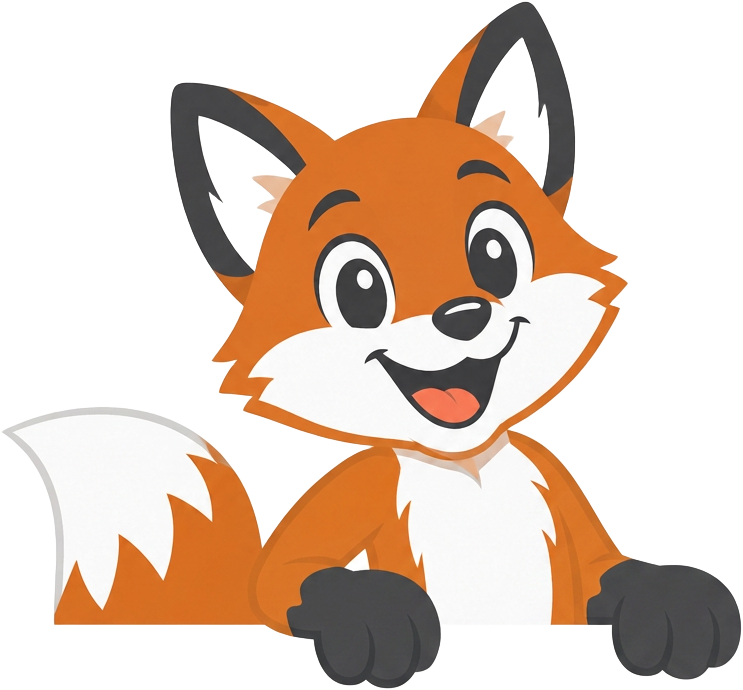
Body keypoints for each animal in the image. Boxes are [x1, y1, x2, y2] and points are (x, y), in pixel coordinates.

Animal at [3, 2, 740, 687]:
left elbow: (610, 570)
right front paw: (373, 616)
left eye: (494, 253)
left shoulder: (555, 484)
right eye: (359, 287)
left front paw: (674, 604)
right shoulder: (358, 486)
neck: (467, 467)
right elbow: (285, 575)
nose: (464, 314)